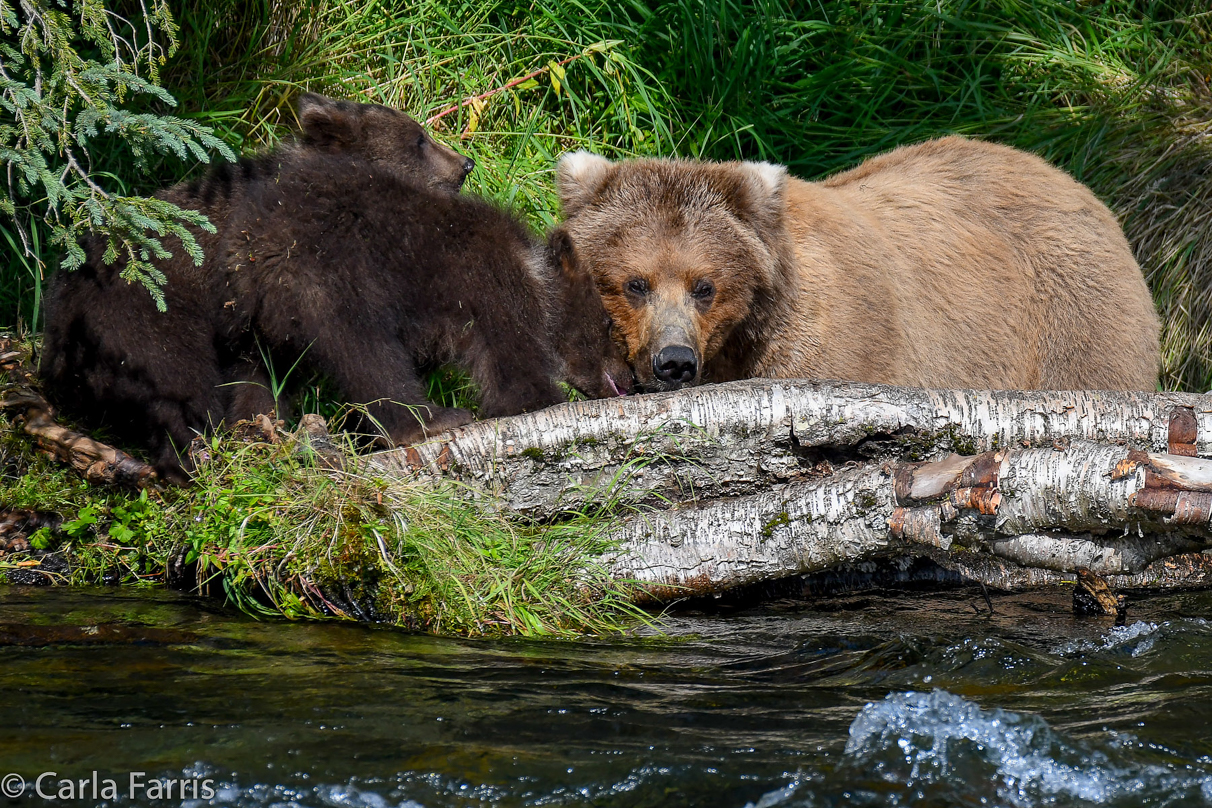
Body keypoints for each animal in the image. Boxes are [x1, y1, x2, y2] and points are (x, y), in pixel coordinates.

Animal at [40, 100, 625, 484]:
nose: (465, 163)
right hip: (176, 304)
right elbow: (509, 363)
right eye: (417, 138)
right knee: (349, 354)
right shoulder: (485, 287)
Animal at [557, 135, 1163, 392]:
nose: (675, 362)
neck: (738, 344)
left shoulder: (835, 341)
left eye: (704, 285)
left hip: (1072, 318)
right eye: (635, 283)